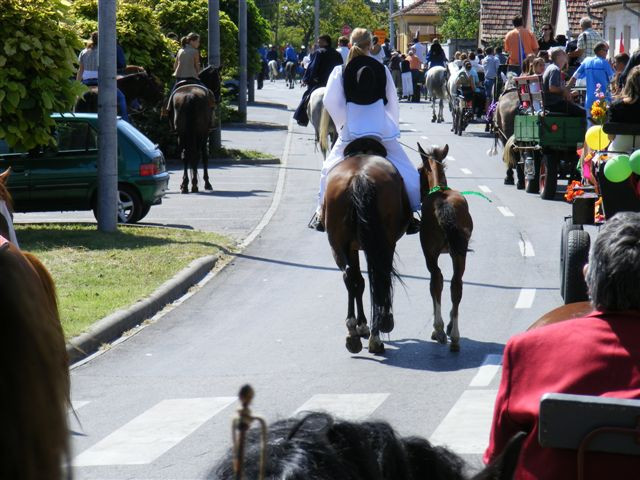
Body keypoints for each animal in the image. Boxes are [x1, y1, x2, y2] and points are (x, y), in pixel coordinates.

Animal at [324, 138, 410, 352]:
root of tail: (359, 177)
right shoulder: (380, 245)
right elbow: (372, 280)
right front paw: (374, 323)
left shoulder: (354, 247)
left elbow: (359, 282)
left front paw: (361, 325)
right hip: (383, 242)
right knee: (378, 277)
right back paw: (376, 334)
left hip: (337, 243)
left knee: (349, 276)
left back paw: (353, 333)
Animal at [418, 143, 472, 352]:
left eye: (419, 169)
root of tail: (443, 203)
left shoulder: (430, 253)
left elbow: (435, 284)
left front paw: (438, 329)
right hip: (459, 252)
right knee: (456, 284)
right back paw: (455, 336)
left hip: (430, 252)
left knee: (436, 280)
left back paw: (439, 329)